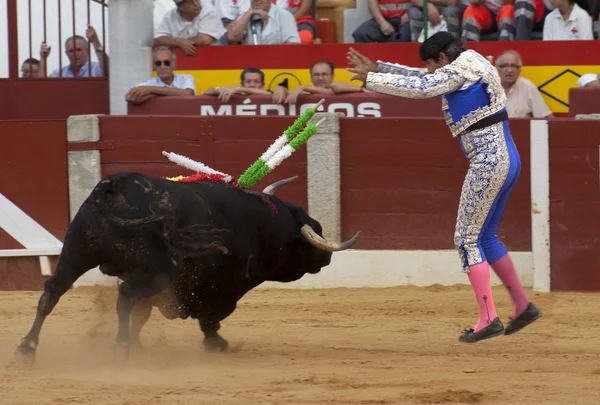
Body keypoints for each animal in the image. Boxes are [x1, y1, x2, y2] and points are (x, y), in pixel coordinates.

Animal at [15, 170, 360, 360]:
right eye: (312, 238)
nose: (327, 255)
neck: (266, 226)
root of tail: (113, 185)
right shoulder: (224, 286)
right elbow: (210, 318)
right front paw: (217, 344)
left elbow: (142, 315)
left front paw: (140, 344)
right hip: (157, 270)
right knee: (125, 295)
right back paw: (120, 347)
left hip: (77, 251)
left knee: (53, 291)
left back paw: (27, 348)